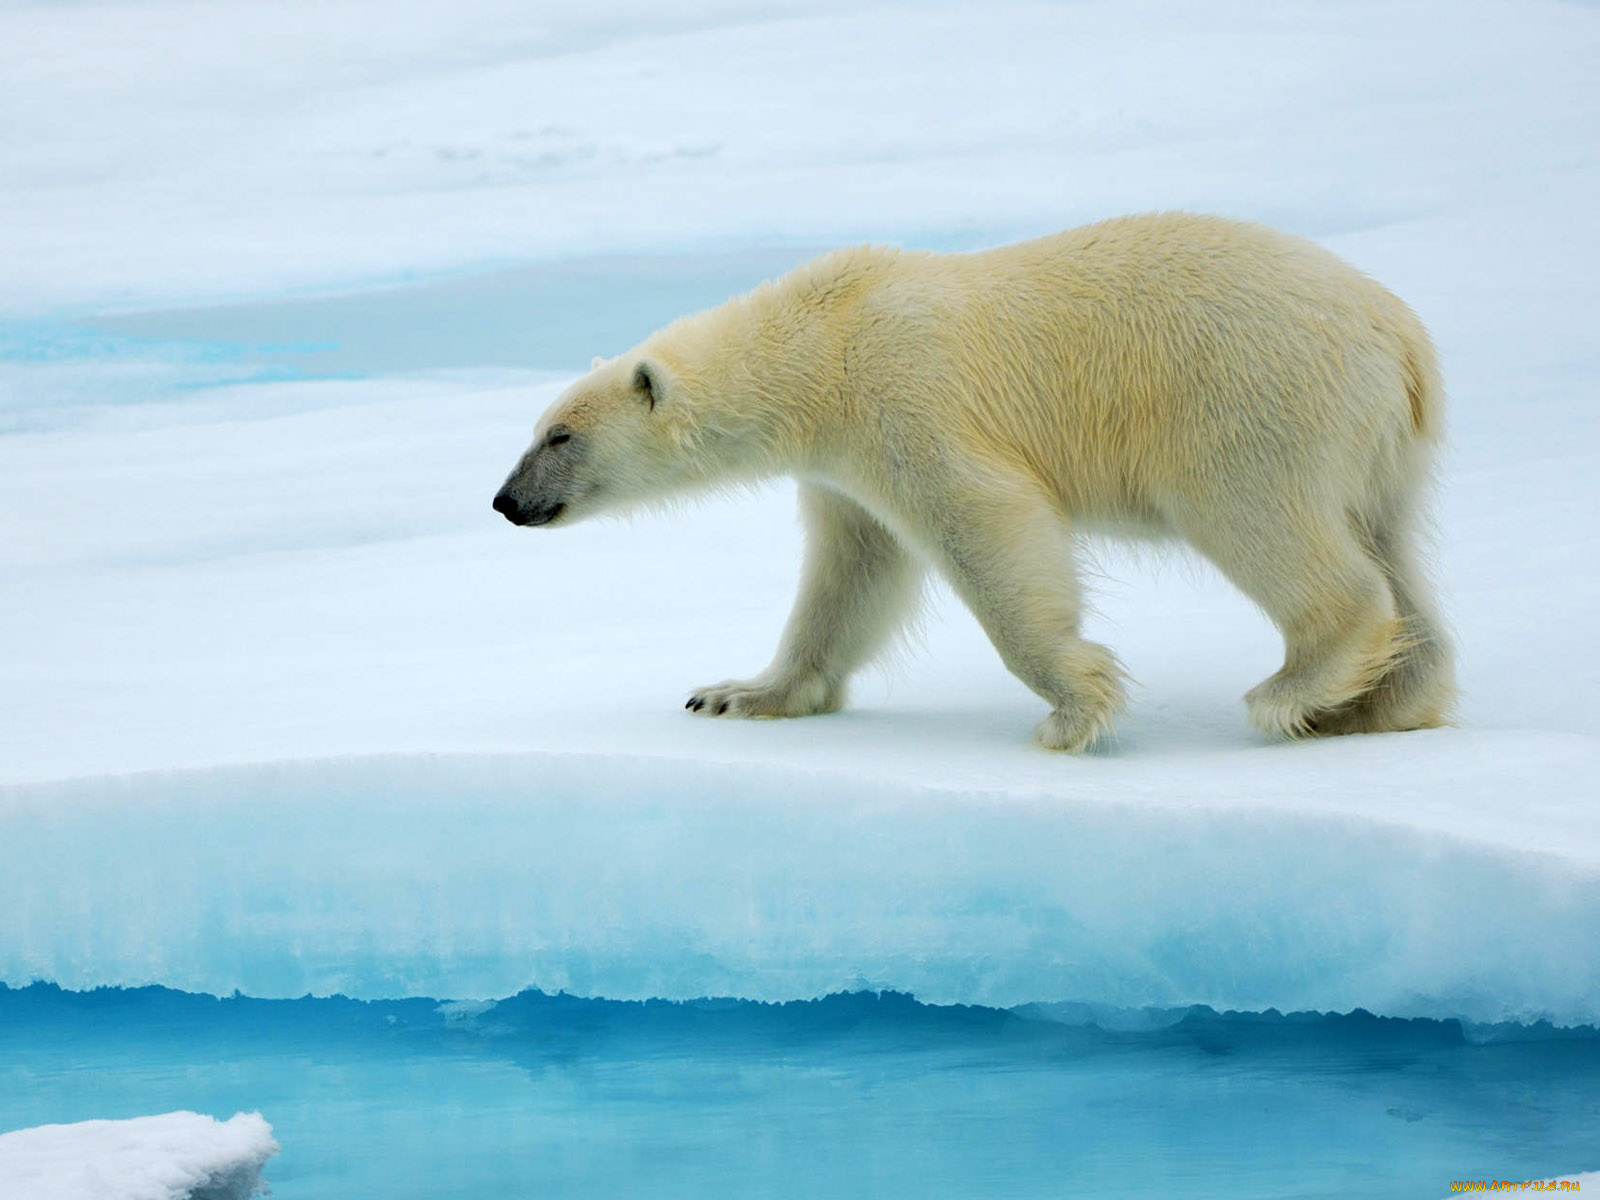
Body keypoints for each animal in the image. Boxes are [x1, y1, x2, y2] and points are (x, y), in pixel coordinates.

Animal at [492, 209, 1459, 752]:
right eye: (536, 430)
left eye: (560, 435)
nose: (505, 502)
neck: (821, 341)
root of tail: (1401, 337)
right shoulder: (841, 466)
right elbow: (851, 573)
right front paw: (736, 694)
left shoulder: (905, 398)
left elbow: (986, 525)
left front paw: (1075, 707)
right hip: (1377, 446)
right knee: (1392, 547)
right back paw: (1380, 704)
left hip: (1249, 402)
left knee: (1270, 526)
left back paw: (1293, 691)